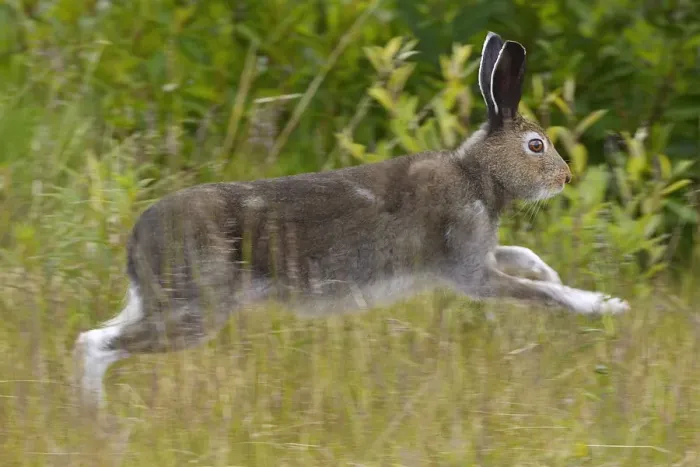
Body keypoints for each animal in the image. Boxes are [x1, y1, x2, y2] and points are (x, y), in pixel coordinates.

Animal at [73, 32, 629, 408]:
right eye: (536, 146)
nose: (567, 177)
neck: (475, 174)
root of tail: (137, 241)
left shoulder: (481, 254)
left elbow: (526, 258)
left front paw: (561, 277)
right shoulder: (471, 271)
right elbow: (539, 294)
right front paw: (604, 304)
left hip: (163, 302)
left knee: (96, 336)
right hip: (196, 310)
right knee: (96, 344)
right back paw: (97, 419)